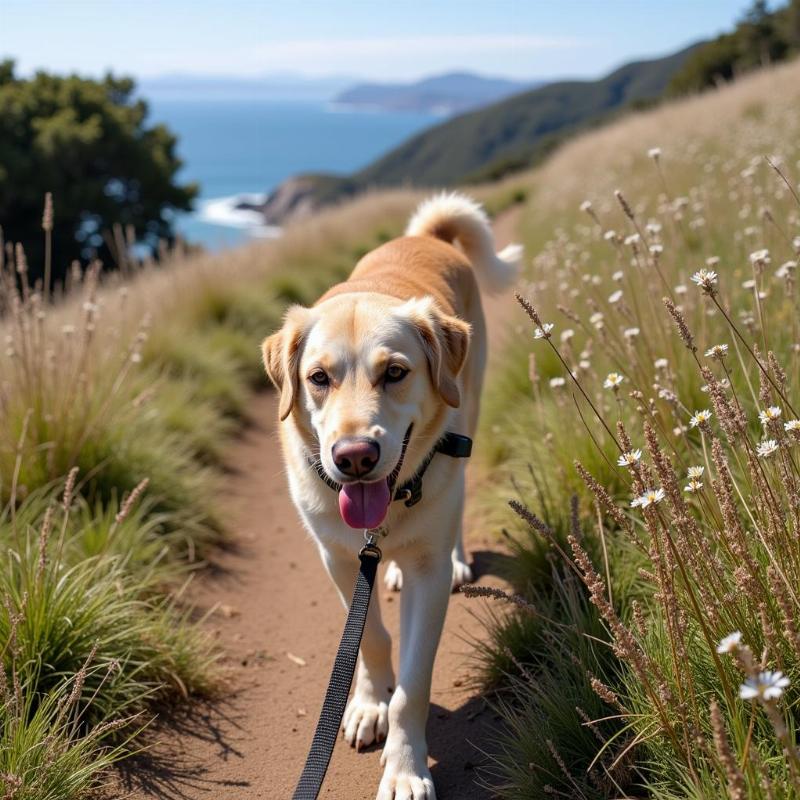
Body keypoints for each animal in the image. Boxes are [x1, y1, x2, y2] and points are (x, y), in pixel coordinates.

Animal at [262, 195, 520, 800]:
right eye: (318, 378)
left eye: (396, 372)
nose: (353, 456)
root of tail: (428, 237)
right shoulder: (337, 559)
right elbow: (372, 638)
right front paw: (366, 705)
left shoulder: (427, 578)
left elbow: (415, 684)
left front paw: (405, 768)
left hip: (470, 407)